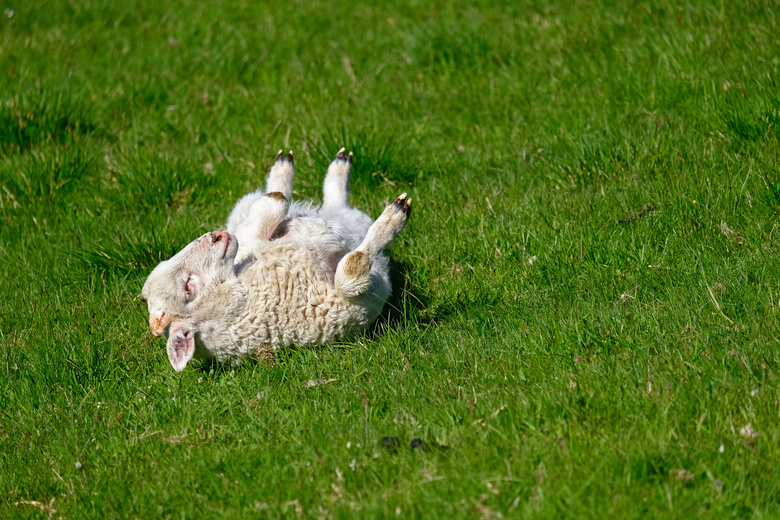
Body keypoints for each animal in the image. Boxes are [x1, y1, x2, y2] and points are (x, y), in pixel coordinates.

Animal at [139, 148, 412, 372]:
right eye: (188, 287)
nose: (216, 236)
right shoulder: (345, 300)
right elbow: (353, 268)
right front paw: (392, 222)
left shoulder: (248, 243)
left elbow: (264, 216)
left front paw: (278, 192)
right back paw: (389, 203)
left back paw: (300, 167)